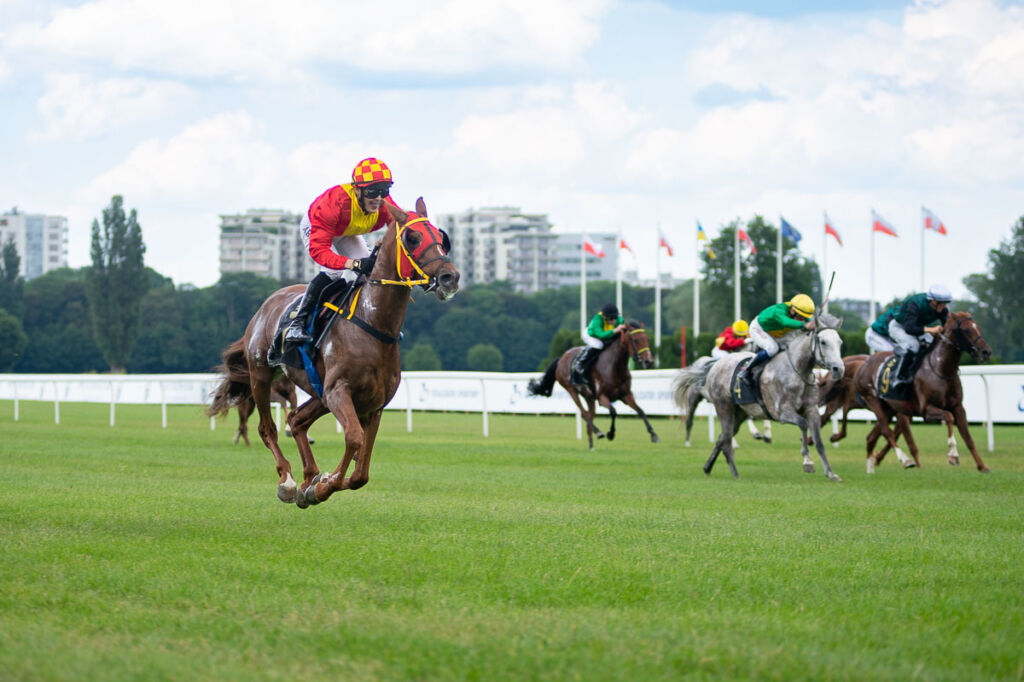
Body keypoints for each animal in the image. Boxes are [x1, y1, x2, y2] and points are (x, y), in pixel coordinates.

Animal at [206, 198, 459, 506]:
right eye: (413, 238)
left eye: (441, 237)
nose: (450, 277)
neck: (373, 324)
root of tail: (265, 305)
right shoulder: (339, 391)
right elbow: (354, 439)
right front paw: (322, 486)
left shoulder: (374, 404)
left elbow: (361, 472)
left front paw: (320, 481)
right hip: (262, 376)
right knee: (268, 428)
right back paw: (289, 481)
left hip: (319, 394)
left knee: (296, 420)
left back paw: (308, 476)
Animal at [526, 322, 660, 450]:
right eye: (636, 340)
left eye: (647, 339)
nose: (649, 361)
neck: (614, 367)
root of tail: (561, 358)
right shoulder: (602, 397)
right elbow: (613, 411)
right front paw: (611, 434)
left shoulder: (626, 395)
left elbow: (640, 411)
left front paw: (653, 434)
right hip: (571, 389)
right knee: (584, 413)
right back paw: (598, 432)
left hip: (589, 396)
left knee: (590, 415)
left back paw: (591, 445)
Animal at [672, 312, 845, 481]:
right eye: (823, 342)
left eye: (840, 342)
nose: (838, 369)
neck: (797, 370)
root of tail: (715, 365)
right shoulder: (782, 412)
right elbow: (803, 425)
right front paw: (807, 462)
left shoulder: (811, 410)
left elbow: (819, 442)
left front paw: (831, 473)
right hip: (721, 406)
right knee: (721, 437)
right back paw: (733, 472)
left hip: (739, 412)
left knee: (722, 438)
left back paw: (707, 467)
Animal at [851, 311, 992, 473]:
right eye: (967, 330)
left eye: (979, 328)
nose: (986, 351)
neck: (941, 370)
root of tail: (862, 365)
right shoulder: (926, 410)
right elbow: (948, 417)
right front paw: (953, 455)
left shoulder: (958, 408)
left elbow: (968, 437)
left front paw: (982, 466)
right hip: (873, 400)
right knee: (887, 431)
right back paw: (905, 460)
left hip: (888, 408)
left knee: (872, 437)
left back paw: (871, 469)